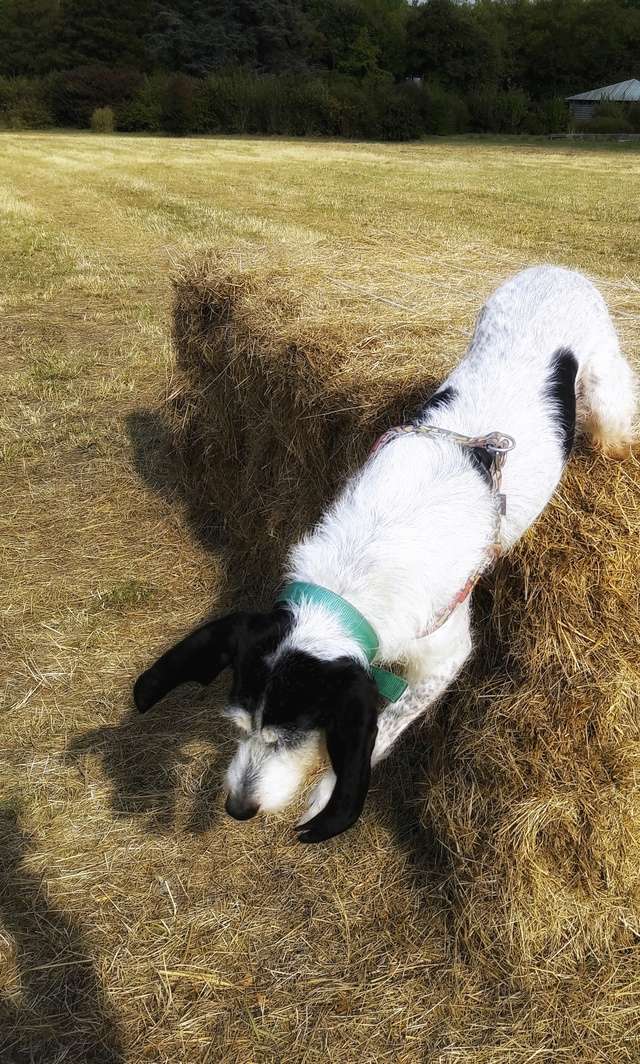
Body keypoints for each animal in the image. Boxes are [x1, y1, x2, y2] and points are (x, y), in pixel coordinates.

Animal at [133, 270, 633, 842]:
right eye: (239, 725)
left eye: (293, 734)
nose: (238, 808)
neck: (357, 570)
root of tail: (554, 269)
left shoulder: (444, 656)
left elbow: (389, 723)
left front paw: (325, 794)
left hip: (607, 395)